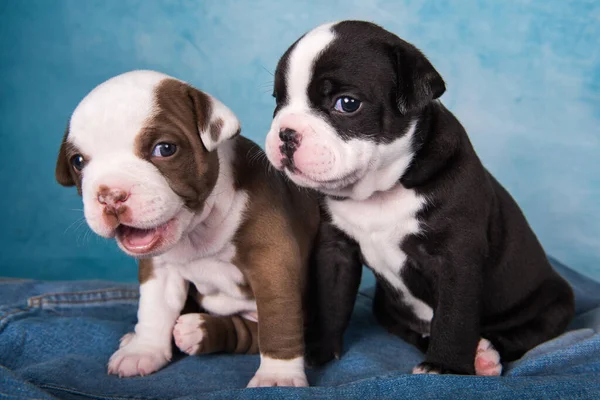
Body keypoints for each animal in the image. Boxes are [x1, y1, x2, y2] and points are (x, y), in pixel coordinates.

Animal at [54, 70, 322, 386]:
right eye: (78, 162)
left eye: (165, 149)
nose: (110, 196)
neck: (199, 230)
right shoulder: (160, 269)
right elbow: (153, 309)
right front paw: (143, 351)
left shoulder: (272, 263)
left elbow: (278, 319)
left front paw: (278, 377)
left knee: (257, 333)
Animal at [264, 19, 576, 376]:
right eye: (278, 100)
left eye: (347, 103)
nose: (286, 133)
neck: (380, 189)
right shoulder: (336, 250)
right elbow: (331, 300)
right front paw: (320, 351)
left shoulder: (456, 259)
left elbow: (454, 318)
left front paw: (445, 367)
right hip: (385, 308)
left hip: (555, 303)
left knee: (522, 334)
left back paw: (485, 357)